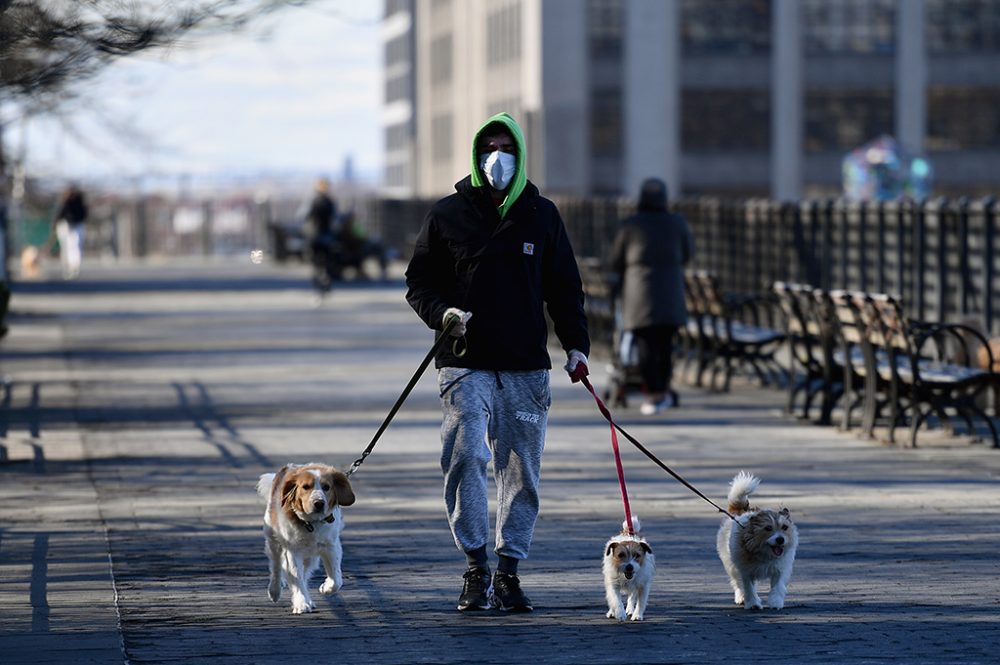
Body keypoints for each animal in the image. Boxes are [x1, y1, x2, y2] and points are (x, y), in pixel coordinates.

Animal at [256, 462, 358, 612]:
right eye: (305, 487)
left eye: (326, 487)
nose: (319, 503)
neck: (311, 523)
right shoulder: (293, 550)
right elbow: (295, 576)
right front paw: (301, 603)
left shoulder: (331, 546)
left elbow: (336, 579)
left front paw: (325, 588)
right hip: (273, 540)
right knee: (276, 566)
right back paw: (274, 591)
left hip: (310, 556)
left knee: (304, 573)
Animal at [716, 470, 800, 608]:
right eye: (768, 528)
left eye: (784, 527)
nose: (780, 540)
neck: (764, 553)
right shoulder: (745, 571)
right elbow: (748, 587)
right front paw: (753, 604)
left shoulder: (780, 569)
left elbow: (778, 586)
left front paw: (775, 602)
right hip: (731, 566)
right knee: (737, 583)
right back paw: (740, 597)